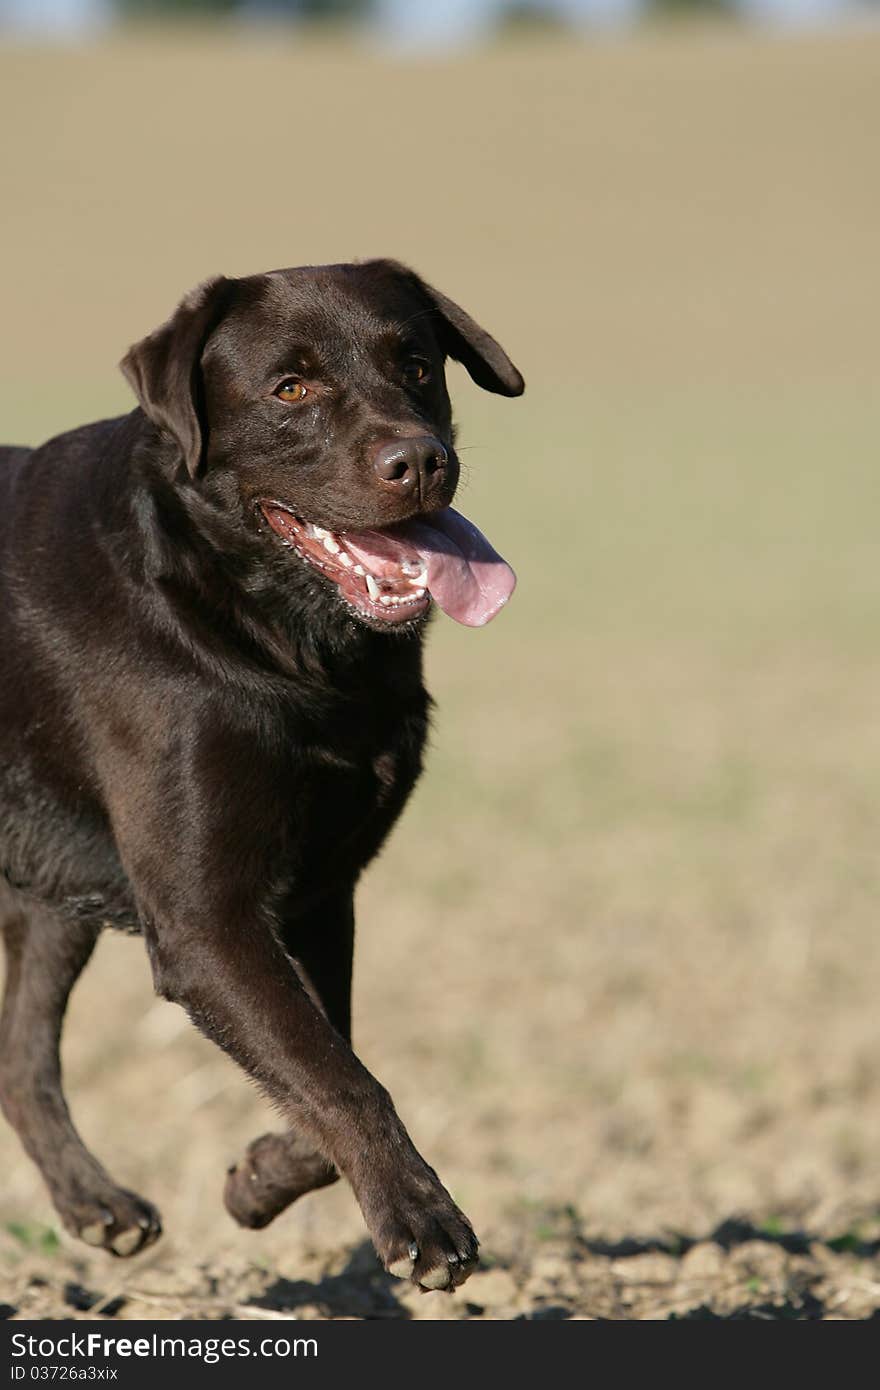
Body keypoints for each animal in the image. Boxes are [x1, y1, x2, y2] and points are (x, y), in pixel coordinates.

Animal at [0, 261, 522, 1289]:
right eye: (290, 388)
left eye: (418, 363)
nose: (421, 461)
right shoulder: (205, 921)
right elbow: (336, 1072)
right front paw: (420, 1217)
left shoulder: (321, 893)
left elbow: (328, 1057)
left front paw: (257, 1179)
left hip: (52, 893)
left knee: (20, 1052)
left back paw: (95, 1204)